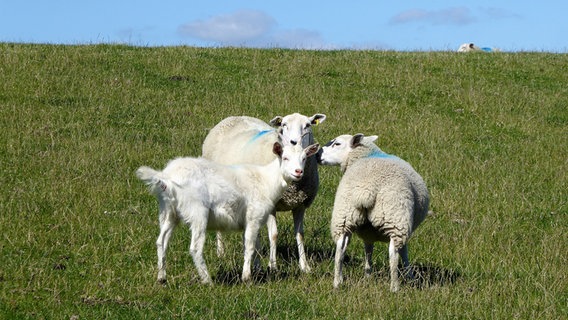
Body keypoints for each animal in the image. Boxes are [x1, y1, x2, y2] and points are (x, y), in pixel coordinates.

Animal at [136, 141, 320, 284]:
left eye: (304, 159)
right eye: (285, 157)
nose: (298, 172)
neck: (266, 180)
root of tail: (167, 177)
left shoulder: (253, 219)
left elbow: (256, 245)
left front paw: (258, 271)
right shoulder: (254, 216)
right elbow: (250, 246)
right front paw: (246, 277)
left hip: (168, 211)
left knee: (161, 241)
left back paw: (162, 277)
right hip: (197, 211)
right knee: (195, 248)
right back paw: (207, 280)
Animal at [203, 112, 328, 272]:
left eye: (307, 125)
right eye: (284, 125)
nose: (294, 142)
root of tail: (232, 117)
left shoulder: (300, 204)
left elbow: (300, 235)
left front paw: (304, 266)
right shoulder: (271, 206)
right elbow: (273, 235)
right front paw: (272, 266)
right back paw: (221, 252)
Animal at [318, 134, 428, 292]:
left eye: (337, 144)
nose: (317, 155)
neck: (365, 154)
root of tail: (366, 189)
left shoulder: (367, 231)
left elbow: (368, 250)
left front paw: (368, 274)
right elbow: (404, 252)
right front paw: (410, 276)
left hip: (344, 215)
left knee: (340, 249)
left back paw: (338, 282)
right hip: (396, 217)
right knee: (393, 253)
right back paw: (395, 287)